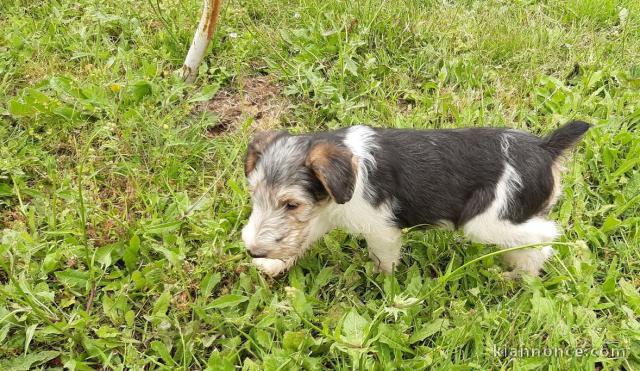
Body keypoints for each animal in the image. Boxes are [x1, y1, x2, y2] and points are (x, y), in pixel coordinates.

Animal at [240, 122, 592, 280]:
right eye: (254, 195)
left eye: (291, 204)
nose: (253, 250)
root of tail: (545, 148)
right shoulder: (322, 212)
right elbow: (300, 238)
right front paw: (272, 264)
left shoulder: (382, 230)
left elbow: (384, 261)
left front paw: (382, 284)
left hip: (489, 221)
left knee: (545, 237)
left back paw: (522, 276)